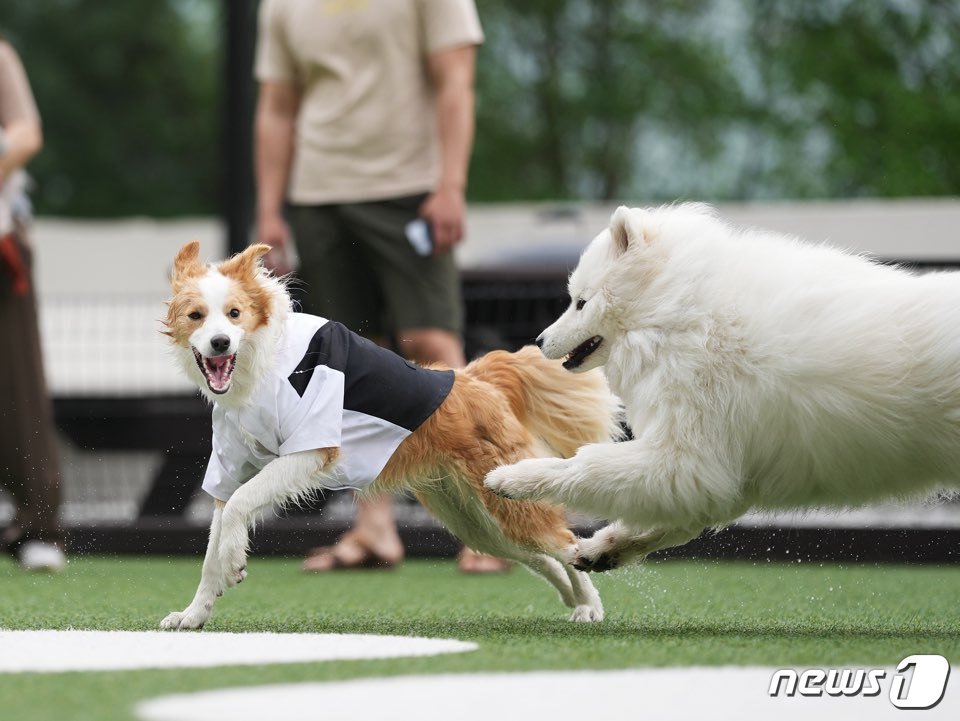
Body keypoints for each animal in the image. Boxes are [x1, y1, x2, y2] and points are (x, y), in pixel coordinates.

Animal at [158, 240, 624, 624]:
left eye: (234, 314)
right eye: (196, 316)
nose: (220, 343)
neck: (259, 371)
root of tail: (472, 378)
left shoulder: (311, 449)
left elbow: (241, 505)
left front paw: (233, 562)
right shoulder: (229, 468)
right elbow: (215, 540)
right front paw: (194, 613)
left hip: (503, 502)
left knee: (566, 542)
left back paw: (590, 603)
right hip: (478, 521)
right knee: (543, 557)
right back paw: (573, 598)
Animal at [488, 201, 960, 568]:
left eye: (580, 302)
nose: (539, 340)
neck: (675, 313)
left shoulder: (685, 460)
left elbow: (584, 466)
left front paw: (513, 478)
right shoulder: (719, 477)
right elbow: (669, 525)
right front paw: (603, 550)